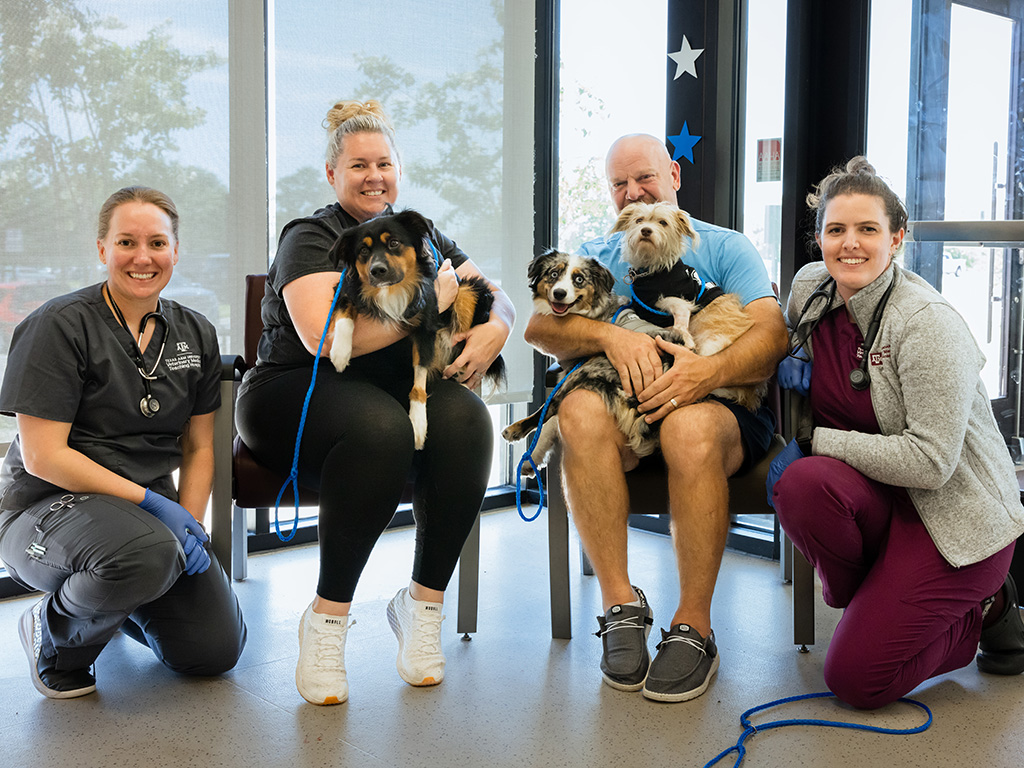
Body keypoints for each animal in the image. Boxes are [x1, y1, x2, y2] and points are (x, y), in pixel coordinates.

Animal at [327, 210, 503, 450]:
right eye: (363, 251)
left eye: (393, 243)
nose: (377, 270)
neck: (393, 290)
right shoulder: (346, 288)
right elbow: (345, 313)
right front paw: (340, 352)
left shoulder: (426, 326)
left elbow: (419, 381)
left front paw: (418, 424)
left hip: (469, 289)